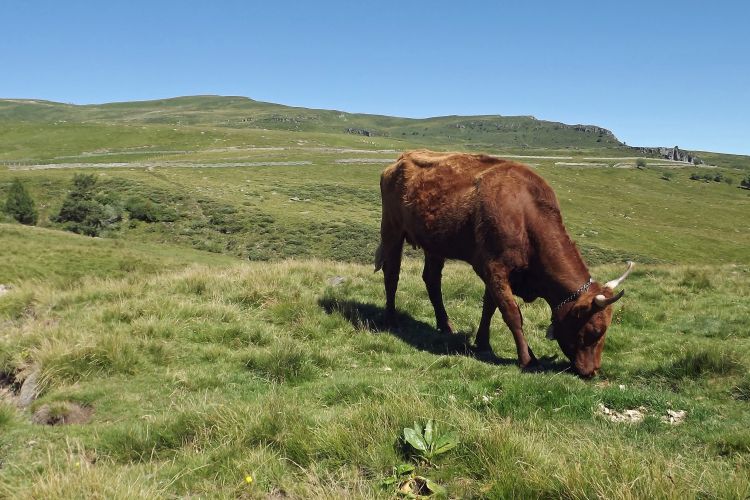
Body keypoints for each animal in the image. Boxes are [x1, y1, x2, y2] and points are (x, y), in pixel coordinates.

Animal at [376, 150, 636, 376]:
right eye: (593, 331)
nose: (593, 371)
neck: (525, 214)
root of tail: (402, 158)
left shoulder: (498, 273)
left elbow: (489, 306)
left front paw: (483, 343)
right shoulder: (494, 267)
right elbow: (511, 313)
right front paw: (528, 358)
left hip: (435, 243)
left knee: (432, 280)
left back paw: (445, 325)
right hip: (392, 229)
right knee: (392, 273)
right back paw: (391, 320)